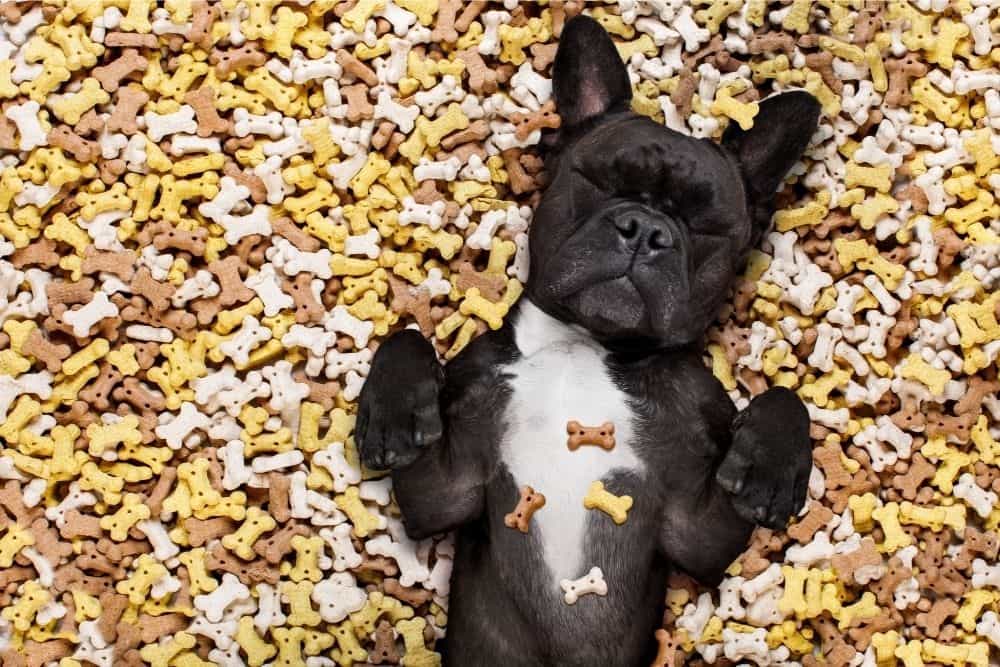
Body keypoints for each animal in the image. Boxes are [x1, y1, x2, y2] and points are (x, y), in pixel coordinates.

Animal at [360, 15, 820, 667]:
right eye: (599, 181)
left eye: (706, 225)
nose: (646, 230)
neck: (584, 345)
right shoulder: (444, 491)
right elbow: (405, 337)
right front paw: (395, 414)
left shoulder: (697, 531)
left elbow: (784, 397)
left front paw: (769, 468)